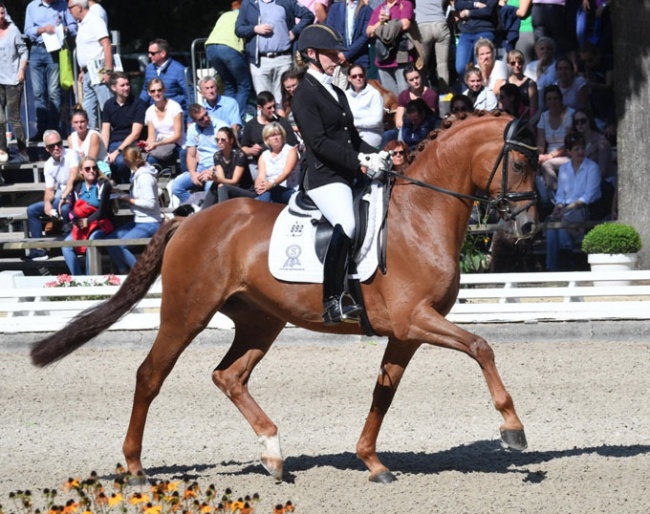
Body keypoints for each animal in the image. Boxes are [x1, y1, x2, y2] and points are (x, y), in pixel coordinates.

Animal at [30, 111, 536, 480]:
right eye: (520, 163)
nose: (529, 226)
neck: (419, 216)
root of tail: (187, 221)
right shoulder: (415, 319)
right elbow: (480, 346)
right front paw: (513, 429)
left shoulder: (405, 332)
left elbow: (384, 391)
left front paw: (371, 461)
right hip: (186, 314)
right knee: (150, 375)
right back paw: (135, 466)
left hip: (262, 320)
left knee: (229, 376)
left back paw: (273, 454)